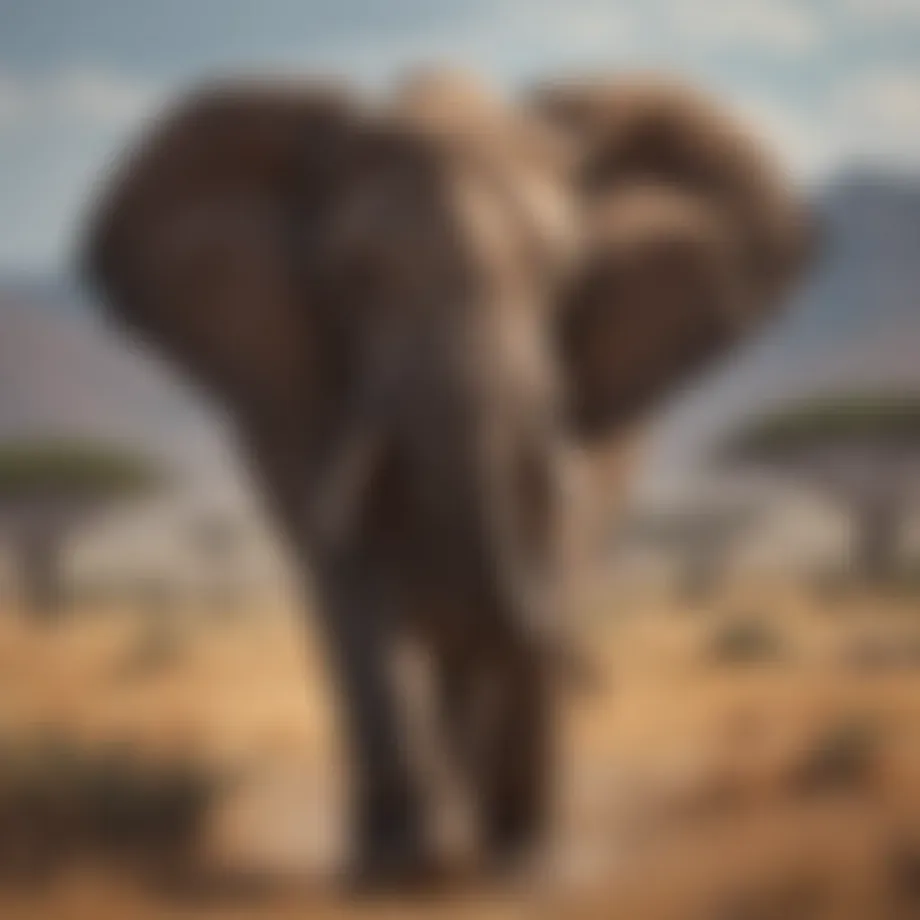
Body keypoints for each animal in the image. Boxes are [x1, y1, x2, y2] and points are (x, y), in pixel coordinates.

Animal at [83, 70, 812, 882]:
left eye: (557, 274)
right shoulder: (301, 395)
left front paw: (524, 865)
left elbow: (552, 545)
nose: (594, 677)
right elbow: (354, 580)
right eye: (358, 277)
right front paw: (400, 864)